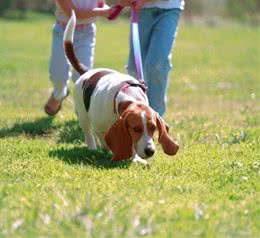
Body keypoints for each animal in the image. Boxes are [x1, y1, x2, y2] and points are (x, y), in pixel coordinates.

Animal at [63, 11, 179, 164]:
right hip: (83, 116)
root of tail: (87, 71)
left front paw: (135, 158)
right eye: (136, 129)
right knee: (89, 133)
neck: (129, 96)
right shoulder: (100, 127)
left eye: (153, 127)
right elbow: (106, 139)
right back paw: (93, 148)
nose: (150, 151)